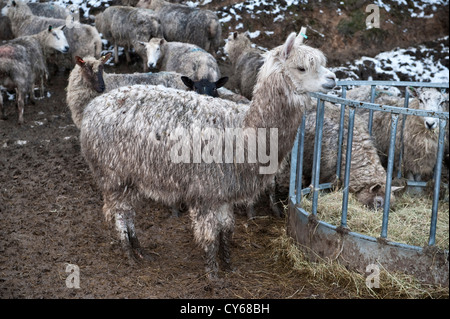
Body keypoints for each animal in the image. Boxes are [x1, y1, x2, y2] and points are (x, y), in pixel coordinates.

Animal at [78, 31, 338, 278]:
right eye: (301, 68)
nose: (333, 79)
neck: (244, 132)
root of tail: (93, 107)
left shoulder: (223, 192)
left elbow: (226, 230)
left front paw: (229, 266)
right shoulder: (206, 190)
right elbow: (209, 234)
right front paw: (213, 275)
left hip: (128, 175)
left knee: (128, 212)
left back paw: (140, 250)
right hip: (113, 173)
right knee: (119, 213)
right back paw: (130, 254)